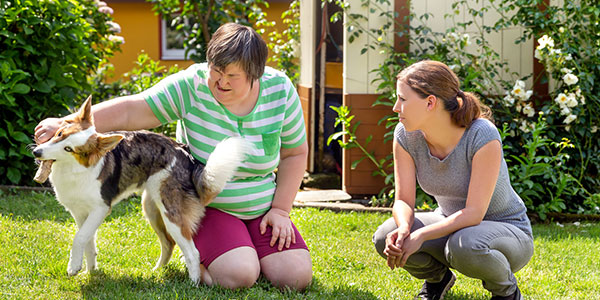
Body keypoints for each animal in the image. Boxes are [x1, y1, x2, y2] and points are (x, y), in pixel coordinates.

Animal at [32, 96, 248, 284]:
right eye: (59, 135)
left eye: (69, 149)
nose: (36, 152)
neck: (73, 169)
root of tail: (186, 155)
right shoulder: (80, 212)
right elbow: (87, 240)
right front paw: (90, 271)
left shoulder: (101, 208)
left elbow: (79, 238)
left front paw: (73, 267)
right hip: (151, 209)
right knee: (168, 244)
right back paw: (156, 272)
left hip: (171, 214)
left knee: (192, 252)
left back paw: (193, 284)